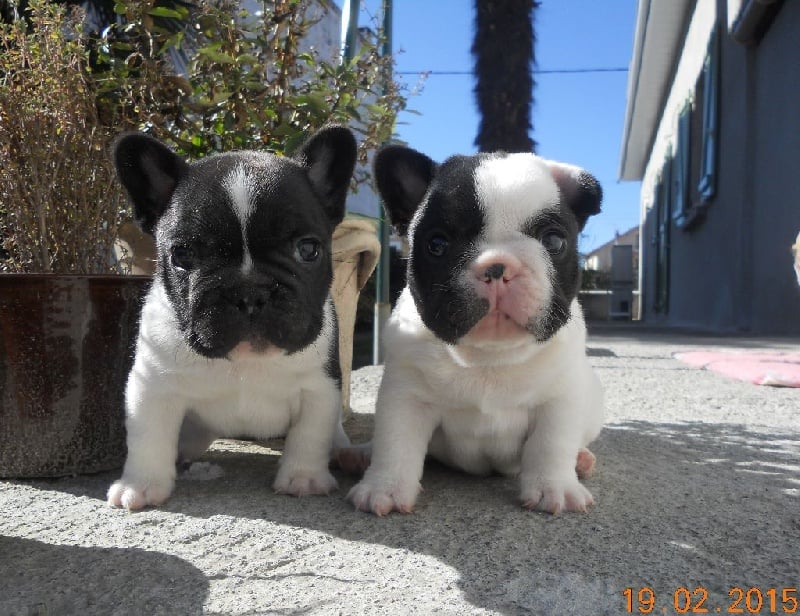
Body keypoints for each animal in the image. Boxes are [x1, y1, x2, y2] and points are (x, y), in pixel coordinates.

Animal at [108, 125, 358, 510]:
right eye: (183, 255)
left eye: (308, 249)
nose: (250, 292)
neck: (246, 363)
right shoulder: (153, 387)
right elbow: (148, 437)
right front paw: (142, 485)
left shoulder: (318, 389)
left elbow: (309, 436)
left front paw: (304, 478)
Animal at [346, 146, 604, 516]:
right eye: (437, 244)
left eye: (554, 241)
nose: (498, 266)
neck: (489, 357)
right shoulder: (405, 396)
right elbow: (395, 442)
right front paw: (385, 488)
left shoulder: (560, 399)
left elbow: (551, 444)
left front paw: (553, 488)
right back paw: (360, 454)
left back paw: (581, 460)